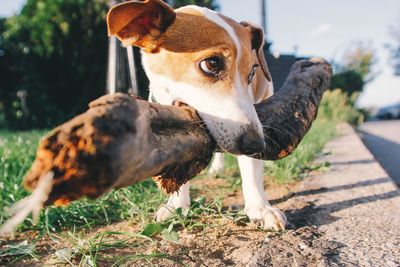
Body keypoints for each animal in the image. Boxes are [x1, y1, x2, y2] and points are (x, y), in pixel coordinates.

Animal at [108, 0, 286, 231]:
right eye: (211, 63)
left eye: (252, 72)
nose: (256, 144)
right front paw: (177, 205)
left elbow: (251, 169)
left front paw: (261, 208)